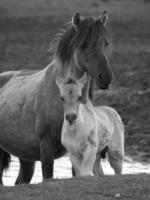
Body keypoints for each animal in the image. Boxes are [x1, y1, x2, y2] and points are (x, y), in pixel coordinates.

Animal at [0, 11, 112, 185]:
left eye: (105, 43)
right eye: (84, 44)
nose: (105, 78)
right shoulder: (46, 148)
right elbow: (48, 176)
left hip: (26, 158)